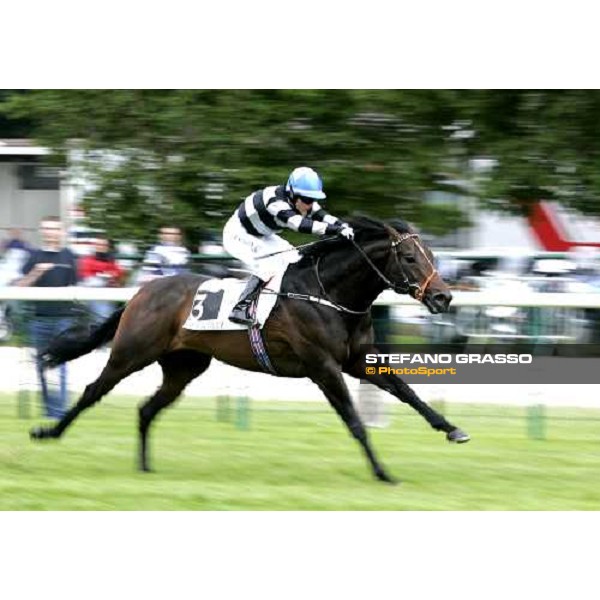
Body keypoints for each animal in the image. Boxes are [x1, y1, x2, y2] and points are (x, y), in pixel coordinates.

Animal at [30, 216, 472, 482]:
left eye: (432, 255)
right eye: (410, 257)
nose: (444, 297)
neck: (329, 293)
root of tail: (143, 289)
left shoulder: (357, 361)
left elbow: (408, 392)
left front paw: (452, 429)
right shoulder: (323, 366)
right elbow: (354, 420)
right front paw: (382, 472)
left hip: (184, 367)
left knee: (147, 409)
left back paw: (144, 466)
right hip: (132, 353)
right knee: (94, 391)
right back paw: (48, 431)